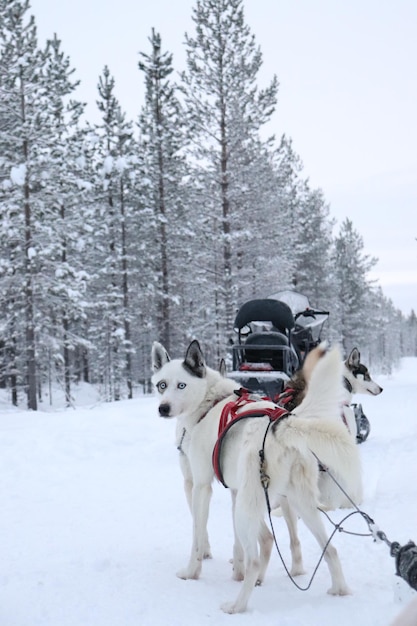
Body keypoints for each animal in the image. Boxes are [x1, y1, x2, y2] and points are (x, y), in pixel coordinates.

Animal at [153, 338, 358, 612]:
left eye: (181, 385)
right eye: (162, 385)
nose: (163, 408)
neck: (209, 403)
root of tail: (282, 425)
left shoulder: (201, 486)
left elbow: (198, 535)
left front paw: (192, 572)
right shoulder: (234, 489)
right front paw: (234, 570)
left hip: (248, 505)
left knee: (255, 558)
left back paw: (237, 605)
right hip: (296, 503)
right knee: (330, 549)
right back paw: (340, 590)